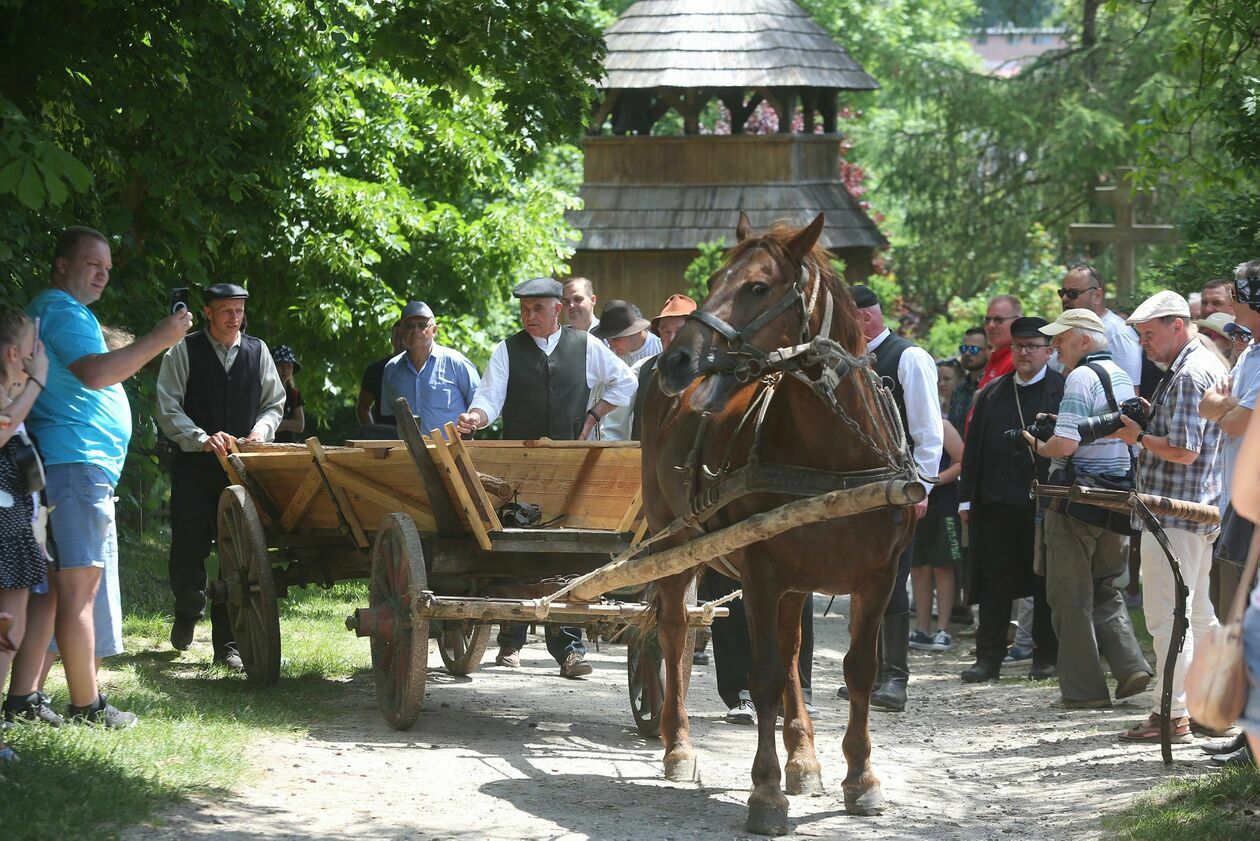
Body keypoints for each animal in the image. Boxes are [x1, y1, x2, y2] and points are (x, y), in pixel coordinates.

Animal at [640, 211, 917, 837]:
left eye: (758, 287)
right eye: (713, 277)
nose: (676, 361)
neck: (836, 457)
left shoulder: (878, 577)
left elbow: (858, 670)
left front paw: (859, 777)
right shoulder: (761, 572)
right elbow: (763, 675)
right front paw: (765, 792)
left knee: (792, 652)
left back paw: (804, 758)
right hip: (675, 540)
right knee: (674, 631)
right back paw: (678, 744)